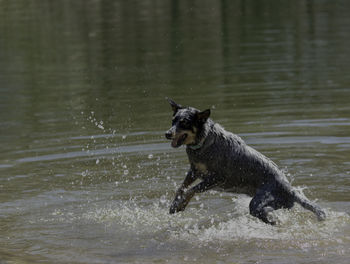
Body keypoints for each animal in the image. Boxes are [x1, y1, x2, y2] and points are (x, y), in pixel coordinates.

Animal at [164, 99, 326, 225]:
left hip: (257, 204)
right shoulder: (194, 170)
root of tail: (290, 189)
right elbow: (181, 188)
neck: (203, 142)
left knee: (268, 216)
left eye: (184, 122)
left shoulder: (217, 178)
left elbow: (191, 190)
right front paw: (174, 205)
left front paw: (181, 204)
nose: (167, 133)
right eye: (173, 121)